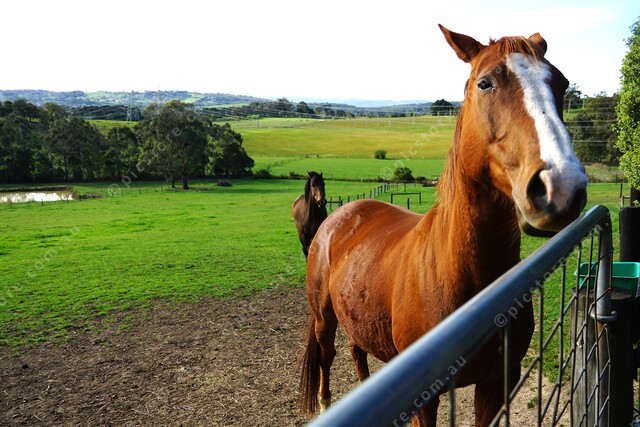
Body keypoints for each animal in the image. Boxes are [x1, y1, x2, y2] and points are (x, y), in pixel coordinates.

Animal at [299, 25, 587, 426]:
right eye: (485, 83)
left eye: (560, 83)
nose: (561, 187)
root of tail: (339, 217)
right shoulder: (426, 399)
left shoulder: (496, 385)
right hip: (324, 319)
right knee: (327, 359)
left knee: (358, 352)